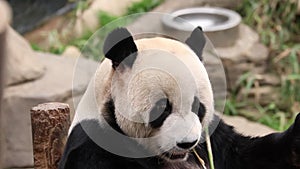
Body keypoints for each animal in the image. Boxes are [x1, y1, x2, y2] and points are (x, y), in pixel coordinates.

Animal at [58, 26, 300, 169]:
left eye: (197, 107)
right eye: (161, 109)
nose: (187, 143)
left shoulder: (211, 137)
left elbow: (247, 155)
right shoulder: (95, 145)